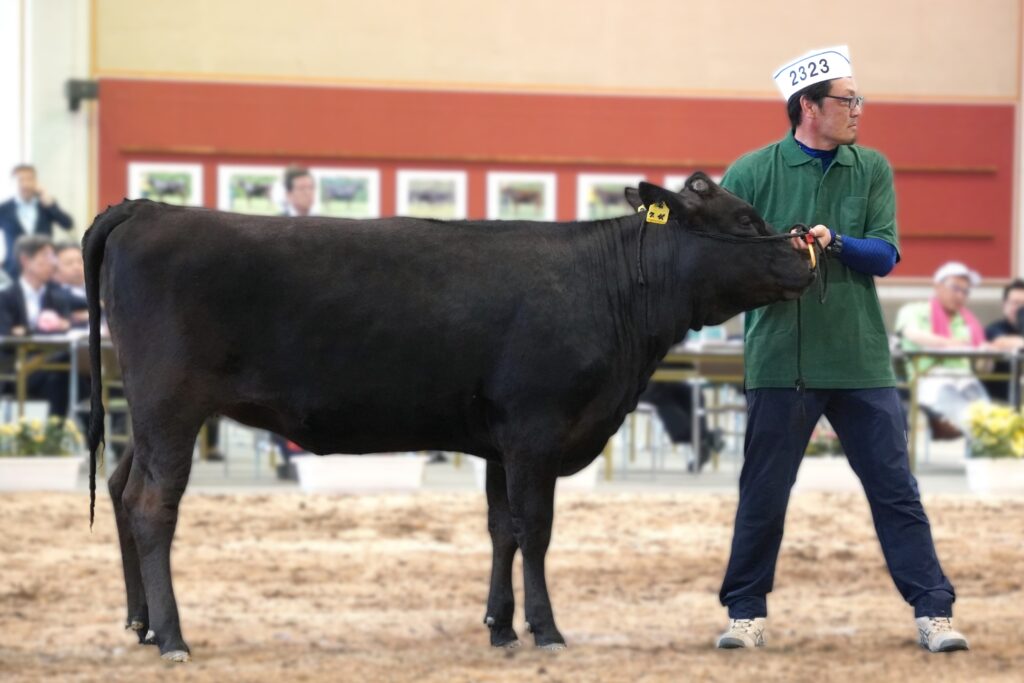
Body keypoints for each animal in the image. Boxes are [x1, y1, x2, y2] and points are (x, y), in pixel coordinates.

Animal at [83, 172, 811, 663]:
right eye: (746, 220)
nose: (807, 252)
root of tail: (147, 208)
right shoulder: (536, 433)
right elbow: (535, 530)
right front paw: (546, 630)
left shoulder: (499, 443)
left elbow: (501, 529)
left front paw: (501, 626)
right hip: (171, 406)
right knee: (151, 505)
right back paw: (173, 637)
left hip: (146, 416)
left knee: (119, 488)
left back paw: (140, 623)